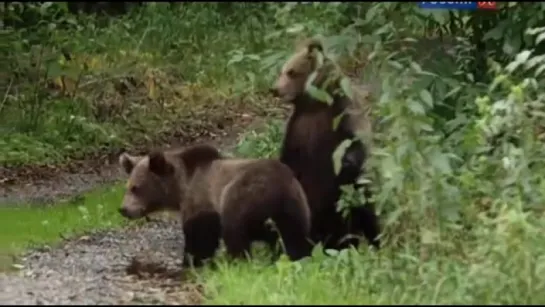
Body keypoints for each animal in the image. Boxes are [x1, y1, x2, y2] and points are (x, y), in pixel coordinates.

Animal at [117, 143, 312, 266]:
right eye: (128, 186)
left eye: (136, 188)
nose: (123, 209)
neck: (180, 189)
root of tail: (278, 189)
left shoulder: (202, 201)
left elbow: (200, 236)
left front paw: (192, 260)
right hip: (295, 205)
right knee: (294, 234)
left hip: (242, 195)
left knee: (235, 230)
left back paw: (238, 260)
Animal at [270, 37, 380, 251]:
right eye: (282, 71)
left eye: (291, 72)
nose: (275, 89)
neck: (316, 104)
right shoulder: (298, 130)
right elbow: (288, 161)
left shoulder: (342, 115)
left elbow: (354, 144)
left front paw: (346, 160)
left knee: (364, 211)